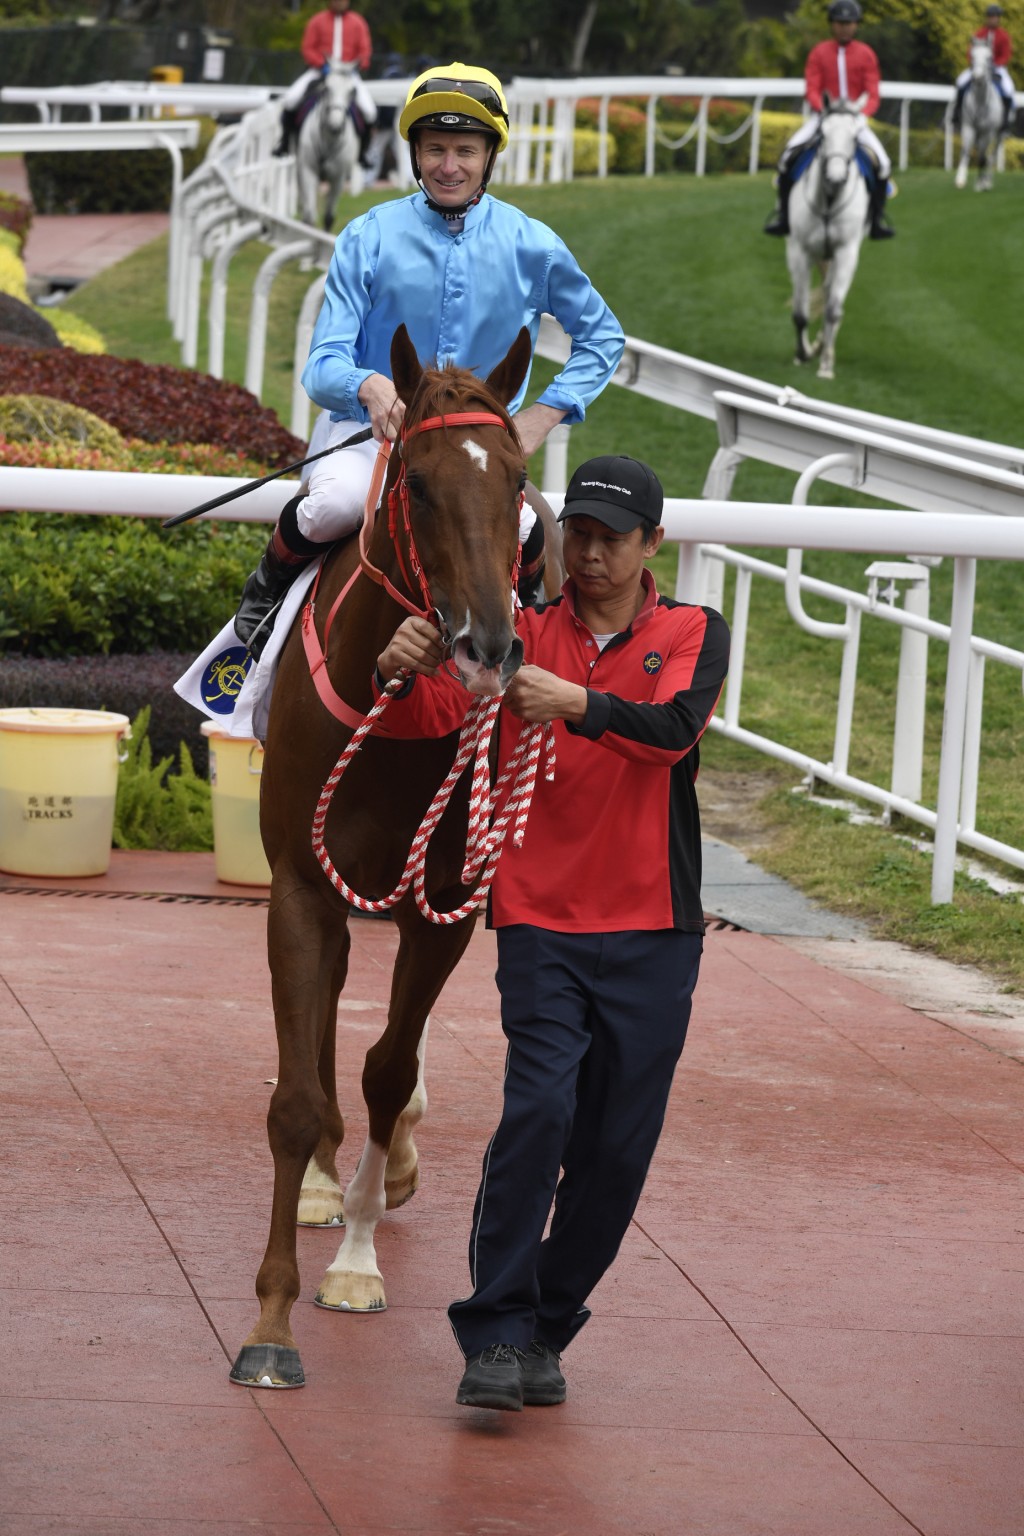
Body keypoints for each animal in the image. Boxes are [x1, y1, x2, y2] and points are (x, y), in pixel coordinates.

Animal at [230, 324, 537, 1394]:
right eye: (420, 485)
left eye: (519, 481)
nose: (487, 644)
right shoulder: (299, 889)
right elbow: (295, 1096)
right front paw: (271, 1321)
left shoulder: (444, 908)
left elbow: (390, 1071)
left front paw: (357, 1262)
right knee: (321, 1025)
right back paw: (325, 1181)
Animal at [296, 60, 360, 230]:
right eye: (326, 89)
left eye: (352, 91)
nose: (335, 126)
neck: (329, 141)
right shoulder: (308, 172)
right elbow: (310, 216)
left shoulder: (338, 178)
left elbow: (329, 217)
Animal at [792, 94, 872, 382]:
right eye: (822, 134)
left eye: (855, 137)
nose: (836, 178)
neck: (828, 201)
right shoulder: (799, 250)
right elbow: (800, 311)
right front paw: (802, 353)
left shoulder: (846, 252)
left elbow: (833, 309)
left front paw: (826, 364)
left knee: (831, 297)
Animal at [957, 40, 1007, 192]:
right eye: (972, 56)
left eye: (989, 57)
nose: (977, 78)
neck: (980, 102)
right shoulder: (968, 127)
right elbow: (966, 151)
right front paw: (960, 179)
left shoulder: (987, 132)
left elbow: (982, 157)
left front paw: (981, 184)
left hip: (999, 135)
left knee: (992, 155)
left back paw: (987, 181)